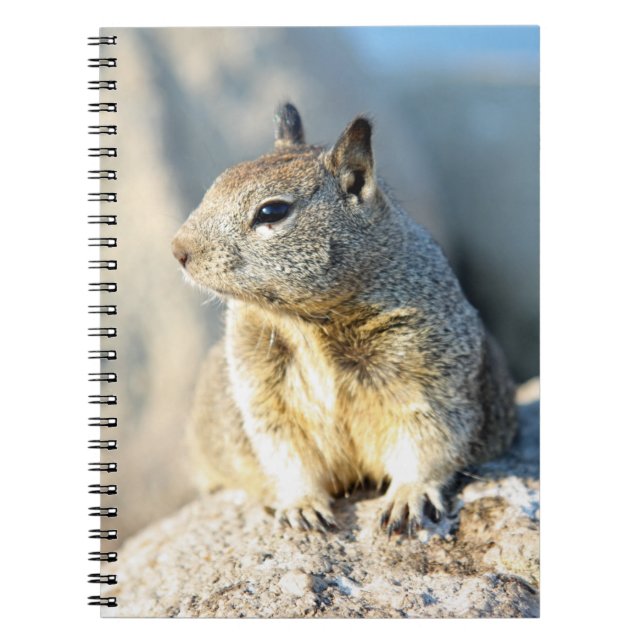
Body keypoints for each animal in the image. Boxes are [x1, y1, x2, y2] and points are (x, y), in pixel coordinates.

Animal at [171, 103, 517, 535]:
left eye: (272, 211)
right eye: (215, 185)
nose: (178, 249)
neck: (305, 322)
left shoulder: (430, 373)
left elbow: (428, 441)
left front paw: (409, 495)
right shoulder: (261, 389)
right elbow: (286, 453)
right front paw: (302, 505)